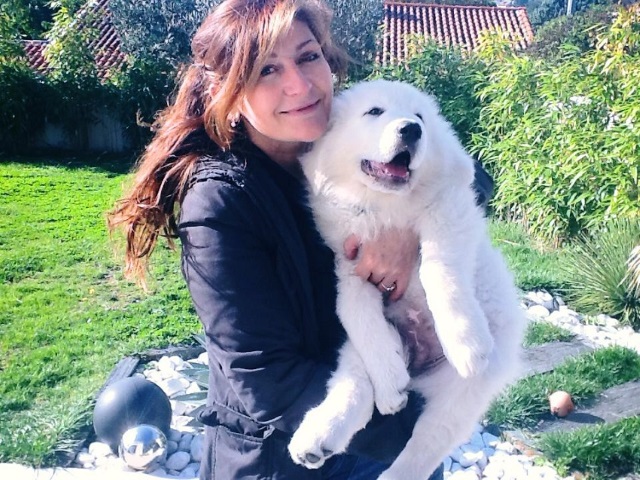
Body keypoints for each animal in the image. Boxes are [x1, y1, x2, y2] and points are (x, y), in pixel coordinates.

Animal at [287, 80, 526, 480]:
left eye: (420, 117)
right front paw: (388, 384)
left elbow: (437, 268)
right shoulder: (350, 266)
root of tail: (420, 366)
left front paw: (467, 344)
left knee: (425, 445)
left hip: (461, 398)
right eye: (374, 112)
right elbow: (356, 314)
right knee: (354, 385)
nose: (412, 130)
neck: (387, 207)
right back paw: (324, 433)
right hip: (358, 355)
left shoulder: (451, 213)